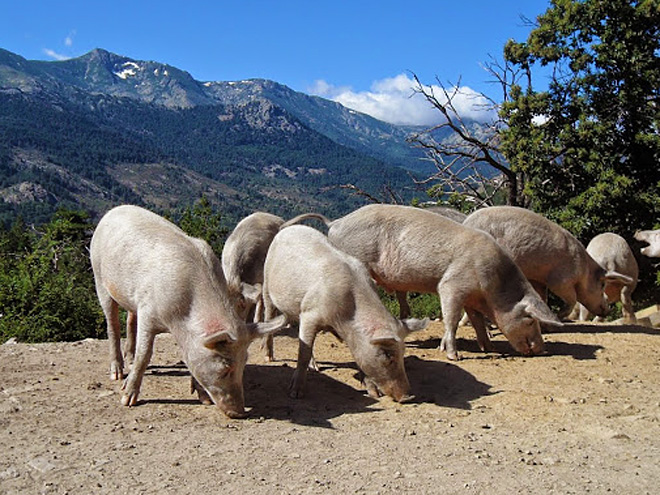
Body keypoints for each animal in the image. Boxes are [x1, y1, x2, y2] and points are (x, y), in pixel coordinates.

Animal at [89, 205, 284, 418]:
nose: (240, 412)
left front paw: (204, 399)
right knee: (112, 324)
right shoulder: (148, 312)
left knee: (130, 319)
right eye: (226, 368)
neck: (181, 317)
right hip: (99, 277)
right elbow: (145, 354)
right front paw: (127, 400)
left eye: (244, 363)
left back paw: (129, 360)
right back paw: (117, 374)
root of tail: (113, 211)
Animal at [262, 227, 428, 402]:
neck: (344, 320)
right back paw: (270, 358)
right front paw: (295, 394)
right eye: (387, 354)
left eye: (403, 353)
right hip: (267, 282)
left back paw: (315, 368)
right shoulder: (310, 314)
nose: (409, 397)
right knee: (269, 314)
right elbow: (304, 353)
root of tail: (288, 229)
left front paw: (374, 394)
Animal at [462, 207, 632, 320]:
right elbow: (571, 298)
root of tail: (466, 223)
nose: (608, 310)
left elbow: (542, 296)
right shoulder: (560, 280)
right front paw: (559, 316)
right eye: (602, 285)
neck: (583, 270)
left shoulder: (538, 280)